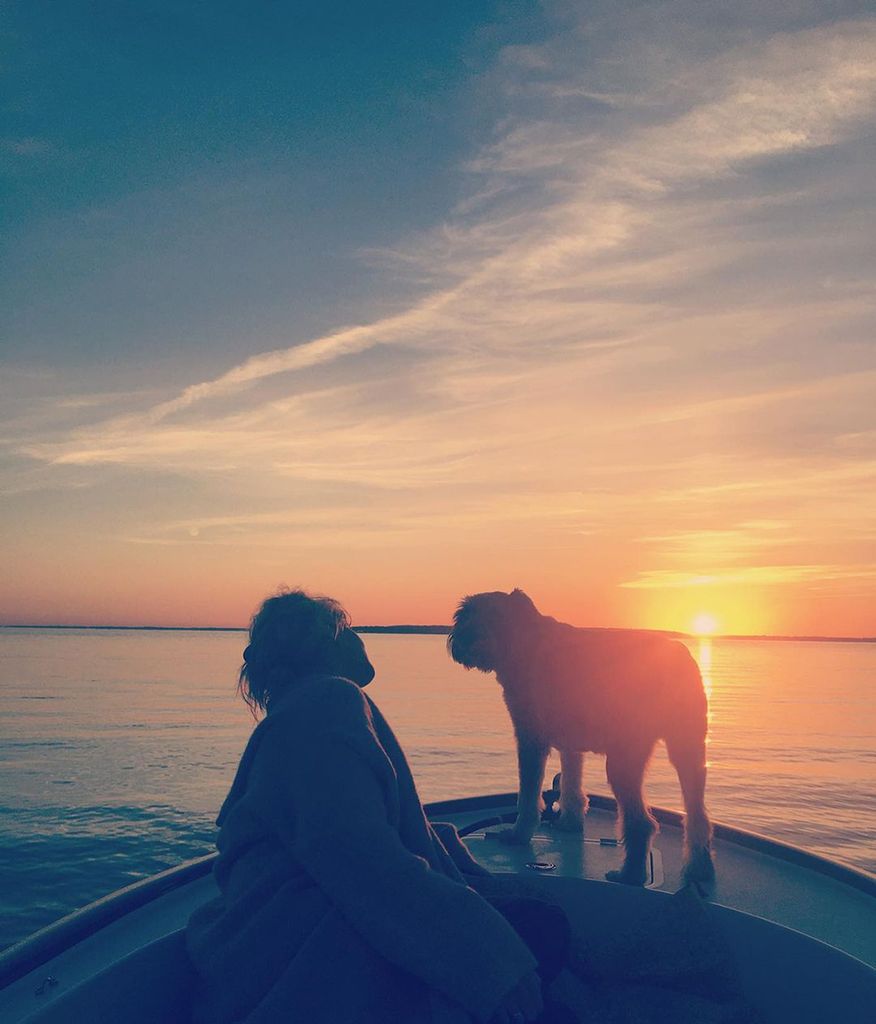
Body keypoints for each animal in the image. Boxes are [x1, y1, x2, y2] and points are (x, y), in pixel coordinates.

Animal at [448, 589, 717, 884]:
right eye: (465, 614)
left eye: (496, 616)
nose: (464, 640)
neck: (525, 643)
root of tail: (678, 659)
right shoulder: (570, 745)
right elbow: (571, 785)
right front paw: (570, 822)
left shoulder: (530, 739)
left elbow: (528, 794)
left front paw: (519, 834)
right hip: (688, 751)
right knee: (698, 817)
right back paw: (699, 869)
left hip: (625, 760)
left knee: (642, 823)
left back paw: (630, 874)